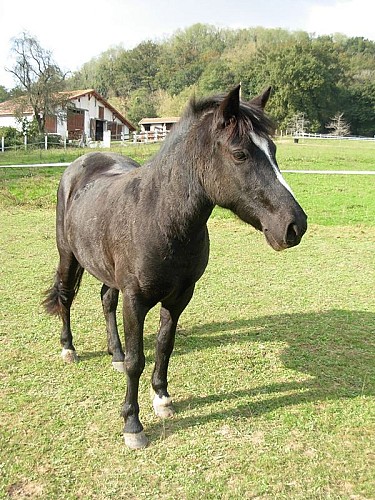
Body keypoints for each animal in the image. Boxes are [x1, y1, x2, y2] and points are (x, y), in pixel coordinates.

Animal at [44, 86, 308, 450]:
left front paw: (162, 398)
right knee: (67, 297)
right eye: (240, 154)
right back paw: (69, 349)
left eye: (273, 150)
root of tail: (81, 164)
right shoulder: (135, 300)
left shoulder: (180, 297)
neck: (160, 217)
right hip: (68, 255)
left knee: (106, 300)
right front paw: (133, 424)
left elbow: (164, 346)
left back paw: (114, 353)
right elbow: (137, 360)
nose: (295, 225)